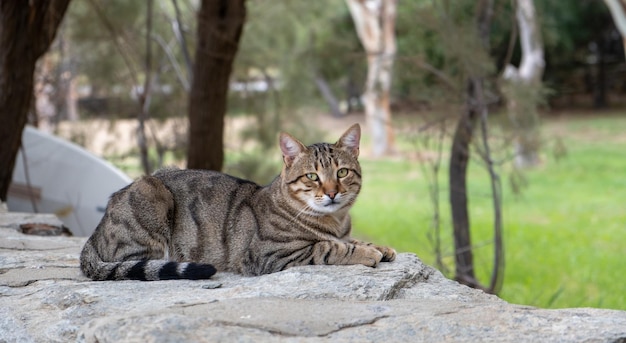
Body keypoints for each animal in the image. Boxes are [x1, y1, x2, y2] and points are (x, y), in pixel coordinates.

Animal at [79, 124, 394, 282]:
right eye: (312, 177)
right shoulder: (273, 255)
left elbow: (350, 240)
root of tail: (95, 233)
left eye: (342, 172)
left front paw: (379, 246)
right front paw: (366, 252)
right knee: (134, 261)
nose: (331, 193)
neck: (336, 221)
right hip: (152, 197)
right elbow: (330, 247)